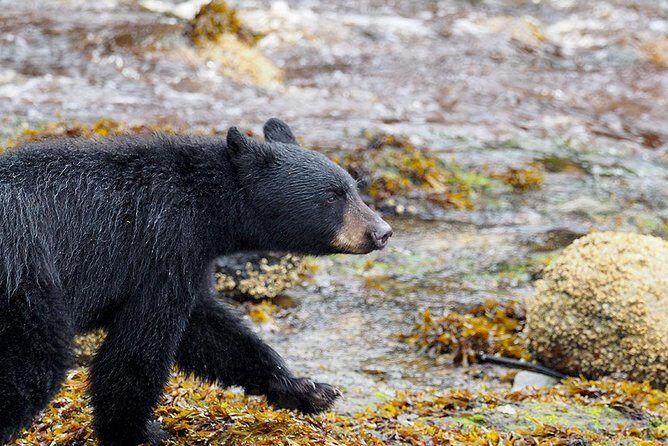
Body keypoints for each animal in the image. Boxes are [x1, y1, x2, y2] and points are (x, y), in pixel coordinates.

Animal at [0, 118, 392, 446]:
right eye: (332, 196)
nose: (382, 231)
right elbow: (140, 348)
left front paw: (305, 389)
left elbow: (210, 330)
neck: (206, 207)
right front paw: (138, 431)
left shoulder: (189, 258)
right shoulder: (162, 248)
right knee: (34, 365)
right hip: (26, 280)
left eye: (353, 188)